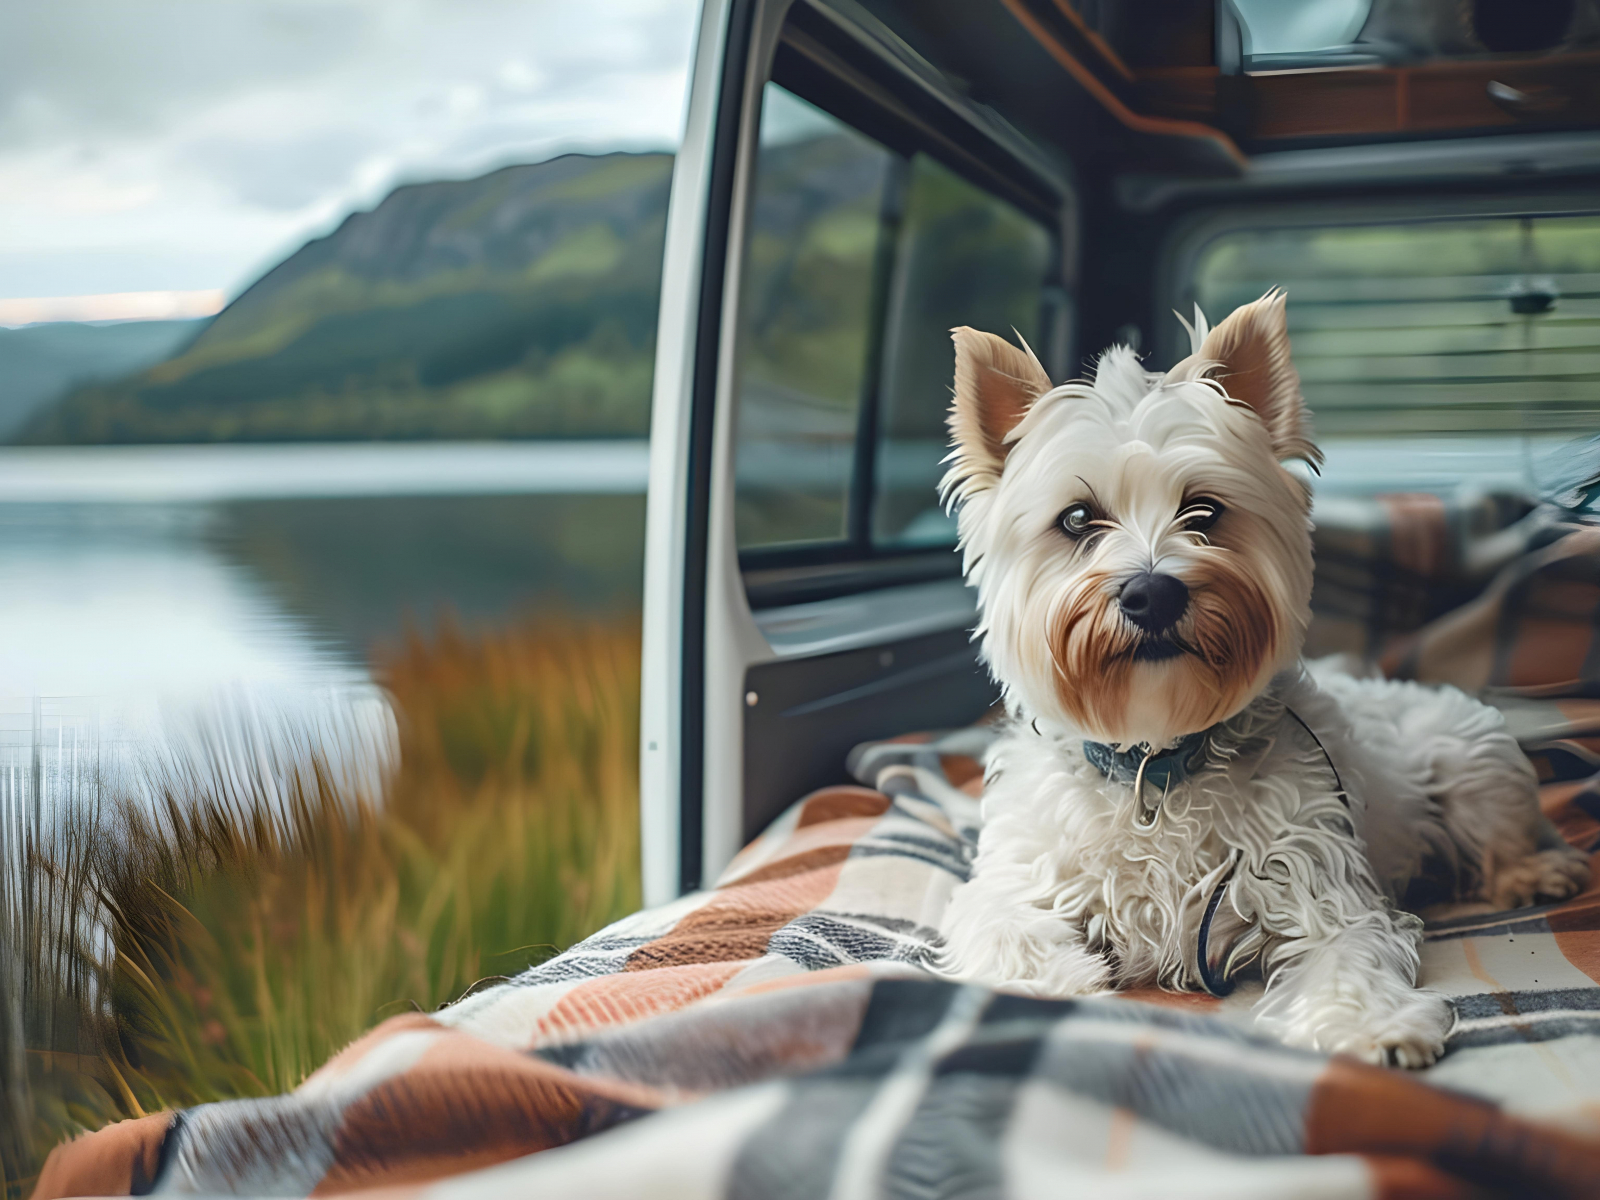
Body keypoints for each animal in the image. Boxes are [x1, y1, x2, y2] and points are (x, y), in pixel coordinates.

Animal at [934, 294, 1587, 1068]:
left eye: (1204, 510)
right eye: (1076, 519)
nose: (1152, 593)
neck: (1156, 760)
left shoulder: (1323, 890)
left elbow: (1346, 956)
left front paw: (1370, 1026)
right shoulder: (1016, 877)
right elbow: (998, 919)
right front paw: (1061, 981)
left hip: (1474, 765)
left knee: (1506, 834)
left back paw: (1530, 874)